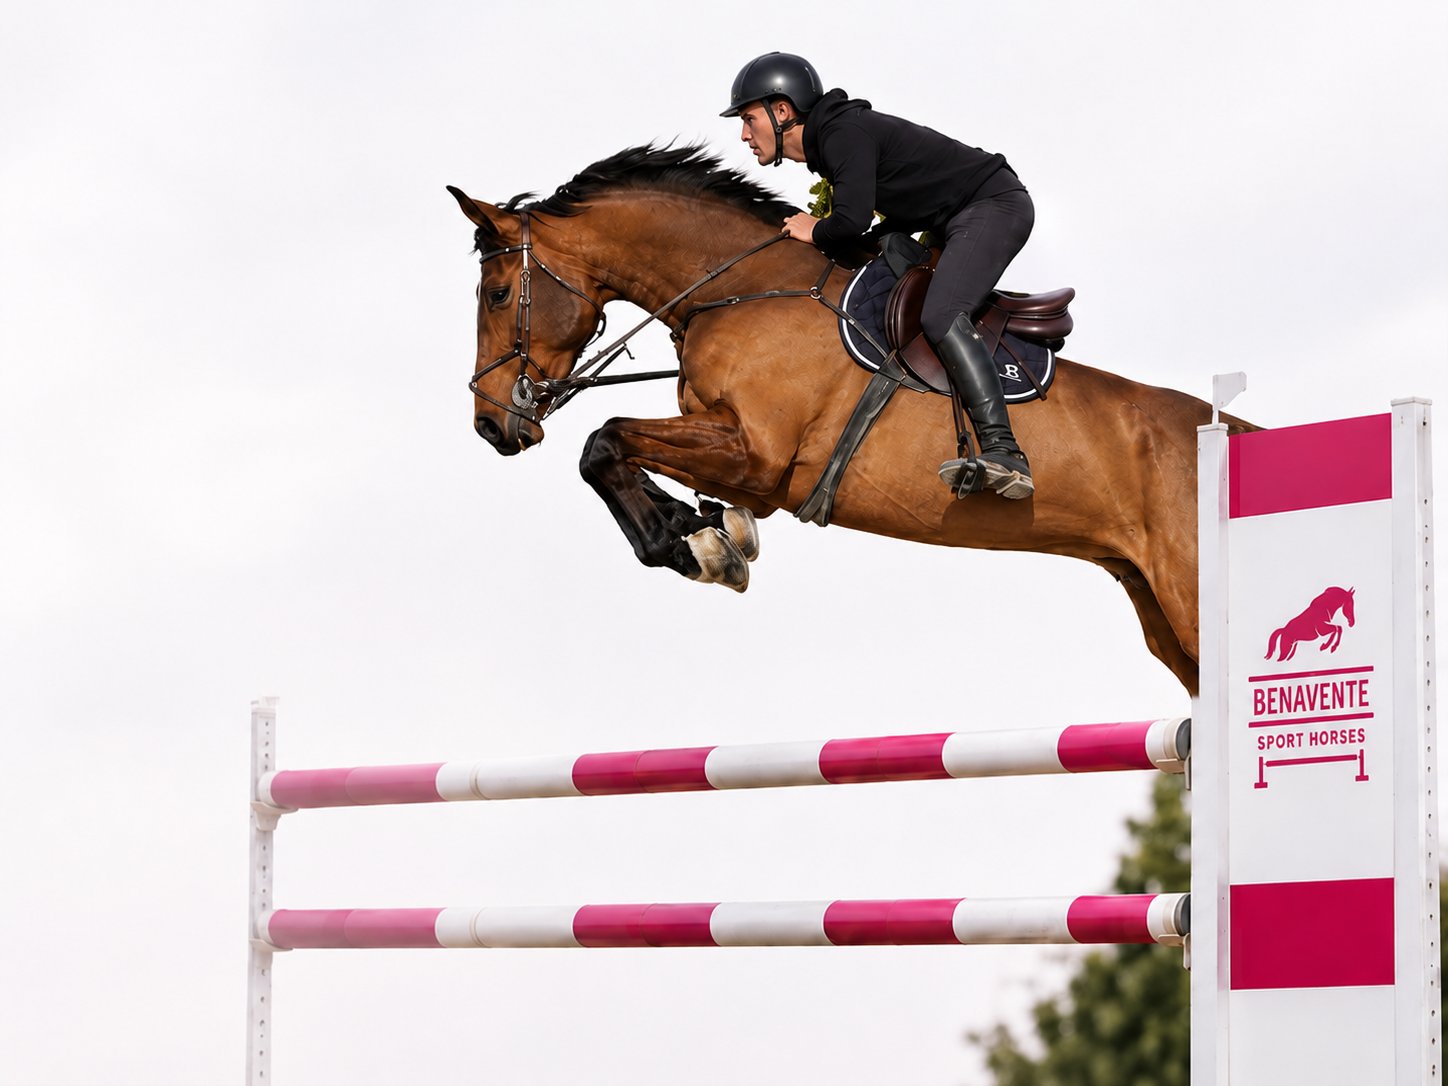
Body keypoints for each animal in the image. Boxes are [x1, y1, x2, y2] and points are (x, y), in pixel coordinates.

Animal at [450, 144, 1251, 695]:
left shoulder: (759, 457)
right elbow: (623, 455)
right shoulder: (732, 454)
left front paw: (696, 547)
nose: (492, 426)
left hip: (1192, 598)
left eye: (497, 294)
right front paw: (710, 534)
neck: (741, 289)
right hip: (1163, 614)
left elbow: (602, 441)